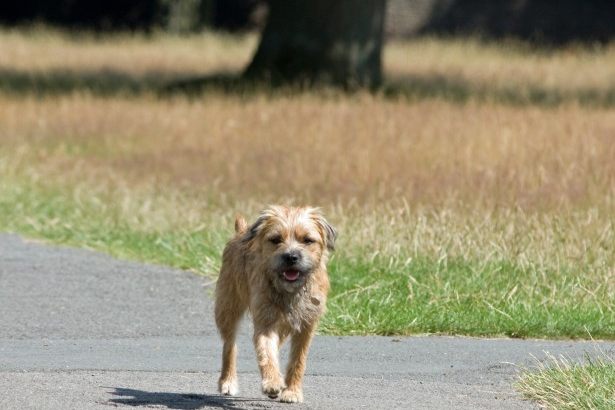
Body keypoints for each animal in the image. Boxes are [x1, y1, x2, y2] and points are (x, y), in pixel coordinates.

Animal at [213, 207, 336, 402]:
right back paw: (228, 382)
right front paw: (271, 382)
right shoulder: (266, 322)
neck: (290, 290)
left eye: (307, 240)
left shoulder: (306, 327)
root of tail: (241, 231)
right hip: (228, 307)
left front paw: (292, 391)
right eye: (276, 239)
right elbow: (266, 352)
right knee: (229, 345)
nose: (291, 257)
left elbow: (298, 360)